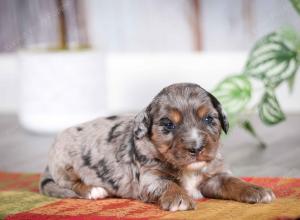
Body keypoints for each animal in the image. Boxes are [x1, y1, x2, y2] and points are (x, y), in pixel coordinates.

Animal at [40, 83, 276, 211]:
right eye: (168, 124)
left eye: (209, 119)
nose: (197, 148)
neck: (188, 169)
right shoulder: (150, 177)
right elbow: (167, 184)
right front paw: (180, 199)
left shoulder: (215, 175)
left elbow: (232, 182)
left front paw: (256, 190)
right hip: (65, 164)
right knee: (73, 184)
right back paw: (94, 190)